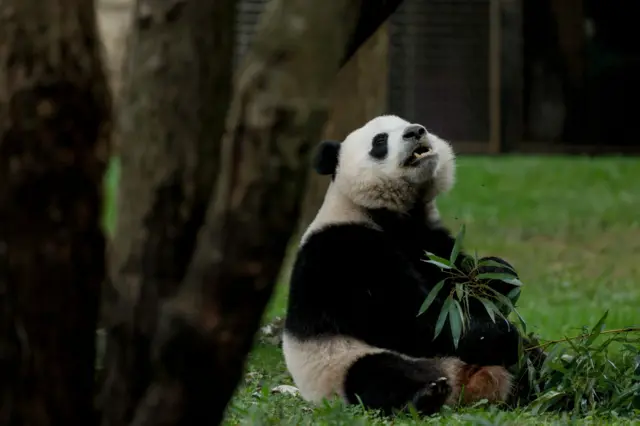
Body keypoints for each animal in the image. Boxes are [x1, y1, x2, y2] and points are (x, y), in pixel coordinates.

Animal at [282, 115, 532, 414]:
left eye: (409, 123)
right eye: (379, 141)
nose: (415, 132)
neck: (389, 213)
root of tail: (466, 384)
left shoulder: (428, 239)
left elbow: (457, 278)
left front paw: (495, 274)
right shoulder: (346, 250)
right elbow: (407, 317)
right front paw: (501, 335)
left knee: (534, 362)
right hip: (337, 362)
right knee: (376, 374)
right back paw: (426, 394)